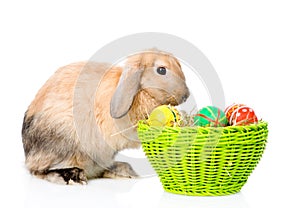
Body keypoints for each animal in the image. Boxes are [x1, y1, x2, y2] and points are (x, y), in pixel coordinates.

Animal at [21, 48, 190, 185]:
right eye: (161, 70)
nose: (186, 95)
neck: (140, 92)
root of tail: (28, 155)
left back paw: (124, 170)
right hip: (63, 144)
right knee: (38, 171)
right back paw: (71, 177)